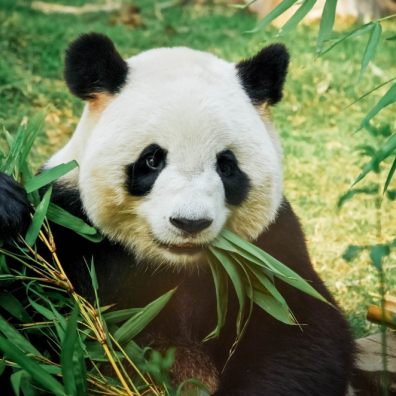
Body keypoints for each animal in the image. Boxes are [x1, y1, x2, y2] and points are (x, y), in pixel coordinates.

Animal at [0, 33, 352, 392]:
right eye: (152, 160)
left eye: (226, 165)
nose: (190, 223)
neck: (173, 266)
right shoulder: (67, 227)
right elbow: (26, 319)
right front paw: (6, 205)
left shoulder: (270, 246)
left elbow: (300, 330)